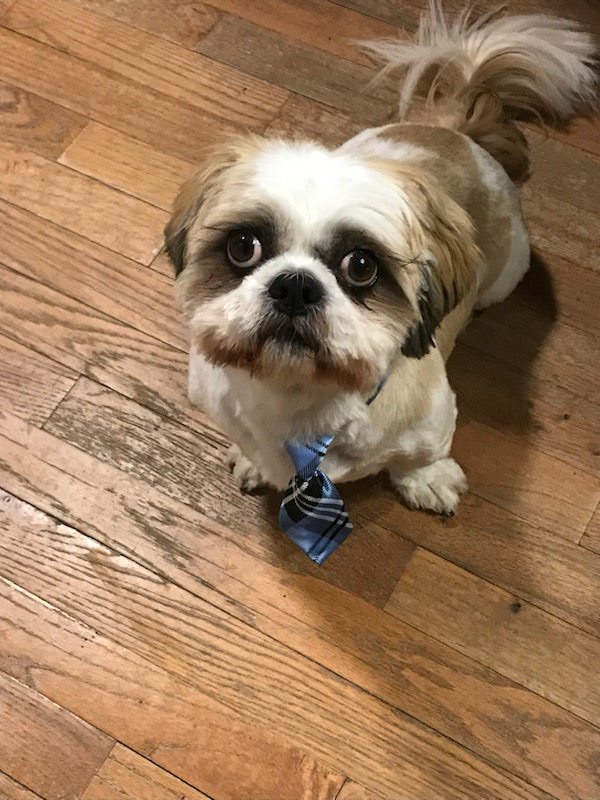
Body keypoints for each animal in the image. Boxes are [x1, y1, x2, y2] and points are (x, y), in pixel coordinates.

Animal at [165, 3, 597, 518]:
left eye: (361, 266)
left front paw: (427, 480)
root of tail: (455, 130)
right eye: (243, 246)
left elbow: (422, 455)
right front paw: (251, 460)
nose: (295, 285)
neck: (300, 406)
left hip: (509, 270)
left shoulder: (434, 417)